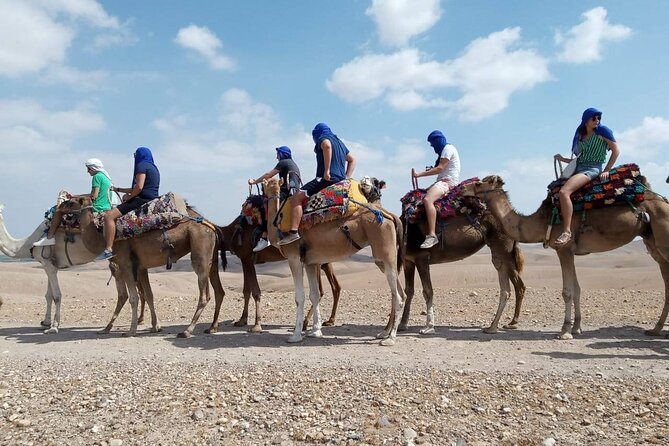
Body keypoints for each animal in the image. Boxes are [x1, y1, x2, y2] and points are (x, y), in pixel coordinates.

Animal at [58, 196, 226, 337]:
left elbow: (133, 297)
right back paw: (211, 328)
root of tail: (211, 226)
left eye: (70, 202)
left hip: (200, 250)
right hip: (211, 257)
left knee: (204, 294)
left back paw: (187, 330)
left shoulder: (125, 264)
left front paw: (130, 331)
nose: (59, 208)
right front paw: (155, 327)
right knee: (218, 290)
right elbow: (149, 294)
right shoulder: (140, 266)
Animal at [264, 178, 405, 346]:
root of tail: (389, 215)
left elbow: (300, 297)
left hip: (385, 251)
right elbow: (314, 294)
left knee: (397, 296)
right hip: (383, 259)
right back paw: (384, 333)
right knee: (400, 293)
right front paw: (315, 331)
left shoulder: (294, 257)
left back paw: (390, 338)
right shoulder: (311, 262)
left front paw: (296, 335)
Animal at [462, 175, 669, 339]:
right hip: (651, 240)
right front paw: (576, 327)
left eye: (479, 183)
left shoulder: (563, 249)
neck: (541, 221)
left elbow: (567, 291)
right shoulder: (571, 252)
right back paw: (655, 329)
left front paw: (565, 331)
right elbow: (577, 289)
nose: (462, 189)